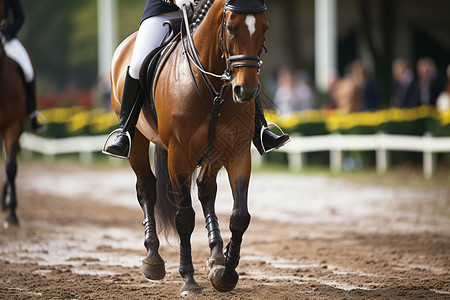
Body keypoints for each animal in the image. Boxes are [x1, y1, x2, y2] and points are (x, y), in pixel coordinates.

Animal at [108, 0, 268, 296]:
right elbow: (184, 217)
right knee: (146, 189)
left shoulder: (237, 153)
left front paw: (225, 274)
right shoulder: (179, 156)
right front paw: (189, 280)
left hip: (213, 153)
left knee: (206, 189)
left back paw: (216, 256)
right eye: (230, 28)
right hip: (137, 140)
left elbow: (240, 217)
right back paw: (153, 260)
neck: (214, 86)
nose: (247, 91)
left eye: (264, 28)